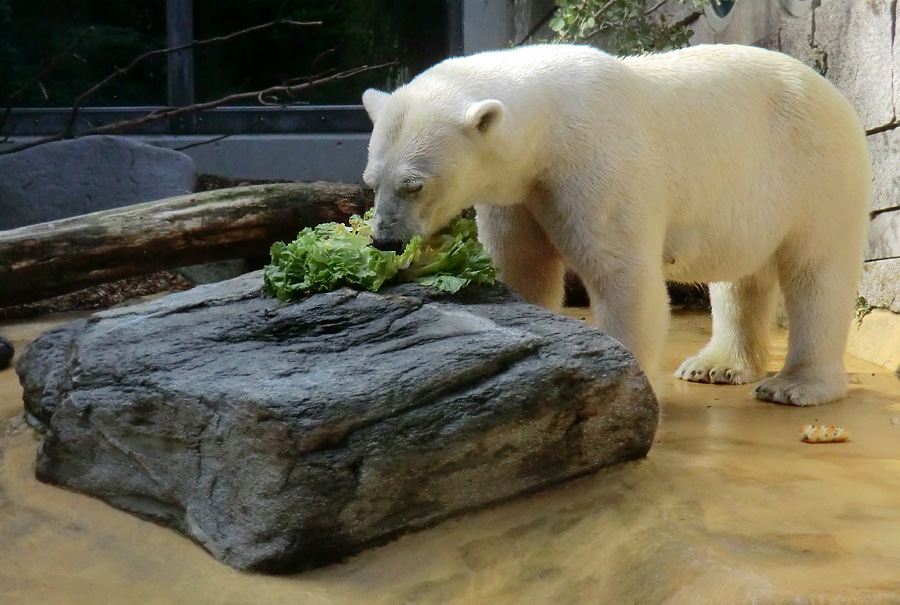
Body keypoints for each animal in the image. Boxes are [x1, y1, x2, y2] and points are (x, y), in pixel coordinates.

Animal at [360, 43, 872, 406]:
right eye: (371, 181)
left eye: (413, 185)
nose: (385, 240)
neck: (552, 123)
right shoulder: (519, 193)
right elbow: (523, 268)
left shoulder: (597, 165)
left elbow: (620, 275)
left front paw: (623, 380)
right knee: (742, 276)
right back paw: (716, 365)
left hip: (815, 170)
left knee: (817, 270)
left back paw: (795, 386)